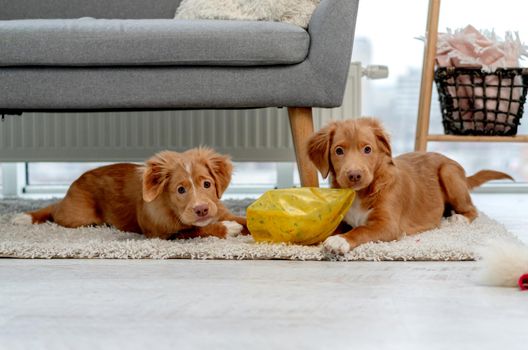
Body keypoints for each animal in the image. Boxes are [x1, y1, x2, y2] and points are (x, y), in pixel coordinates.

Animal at [12, 148, 248, 241]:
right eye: (180, 190)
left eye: (207, 184)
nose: (201, 209)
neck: (171, 209)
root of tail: (77, 180)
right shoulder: (163, 234)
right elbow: (196, 230)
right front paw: (227, 229)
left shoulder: (220, 211)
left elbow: (244, 219)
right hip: (77, 216)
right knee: (55, 209)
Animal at [308, 117, 512, 254]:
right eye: (338, 151)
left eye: (367, 149)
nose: (354, 175)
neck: (362, 192)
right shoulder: (342, 218)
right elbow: (332, 227)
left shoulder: (387, 225)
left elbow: (361, 230)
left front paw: (339, 241)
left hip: (449, 173)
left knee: (472, 209)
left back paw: (458, 218)